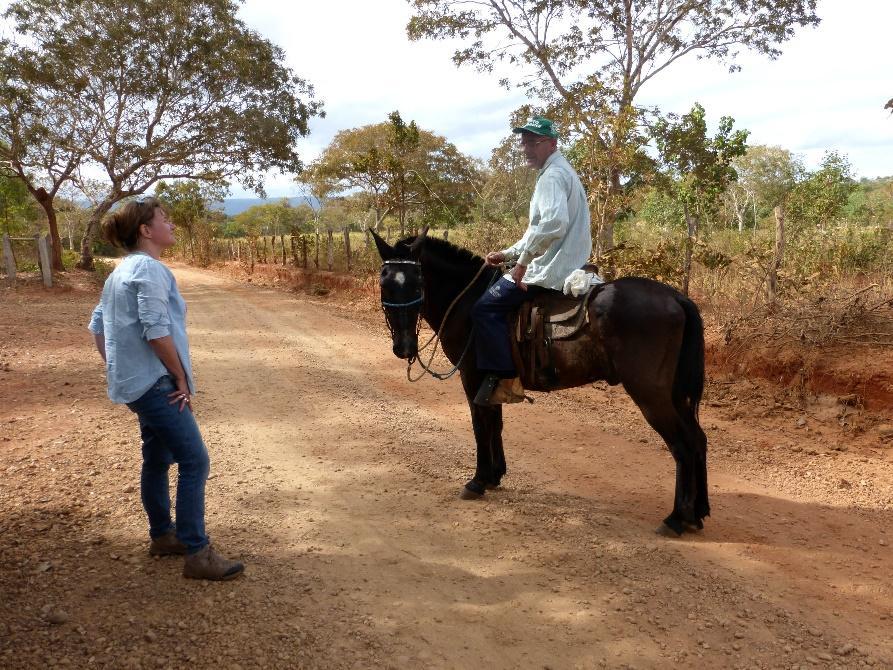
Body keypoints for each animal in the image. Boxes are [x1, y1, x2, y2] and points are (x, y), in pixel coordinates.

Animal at [372, 228, 708, 540]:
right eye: (385, 283)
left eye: (417, 283)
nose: (404, 347)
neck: (467, 301)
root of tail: (677, 298)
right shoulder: (492, 378)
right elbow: (495, 424)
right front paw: (495, 475)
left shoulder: (472, 376)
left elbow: (481, 426)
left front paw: (478, 481)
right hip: (674, 394)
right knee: (698, 439)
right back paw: (697, 512)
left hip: (651, 394)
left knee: (682, 445)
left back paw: (676, 518)